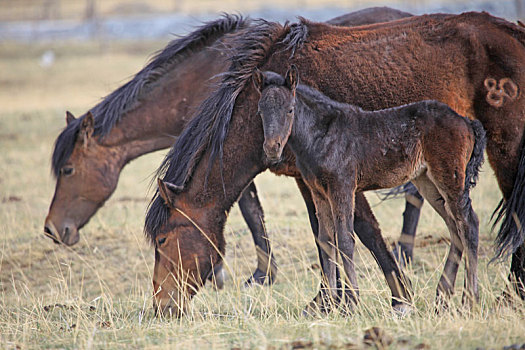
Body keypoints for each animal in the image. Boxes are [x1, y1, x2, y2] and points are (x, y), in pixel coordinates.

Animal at [256, 67, 486, 308]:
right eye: (260, 111)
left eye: (290, 109)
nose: (272, 149)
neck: (322, 135)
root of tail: (467, 122)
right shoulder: (318, 192)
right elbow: (326, 241)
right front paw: (329, 303)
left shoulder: (343, 187)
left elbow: (345, 240)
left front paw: (350, 302)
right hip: (427, 181)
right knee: (454, 226)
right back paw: (442, 295)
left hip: (449, 177)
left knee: (468, 223)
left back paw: (470, 298)